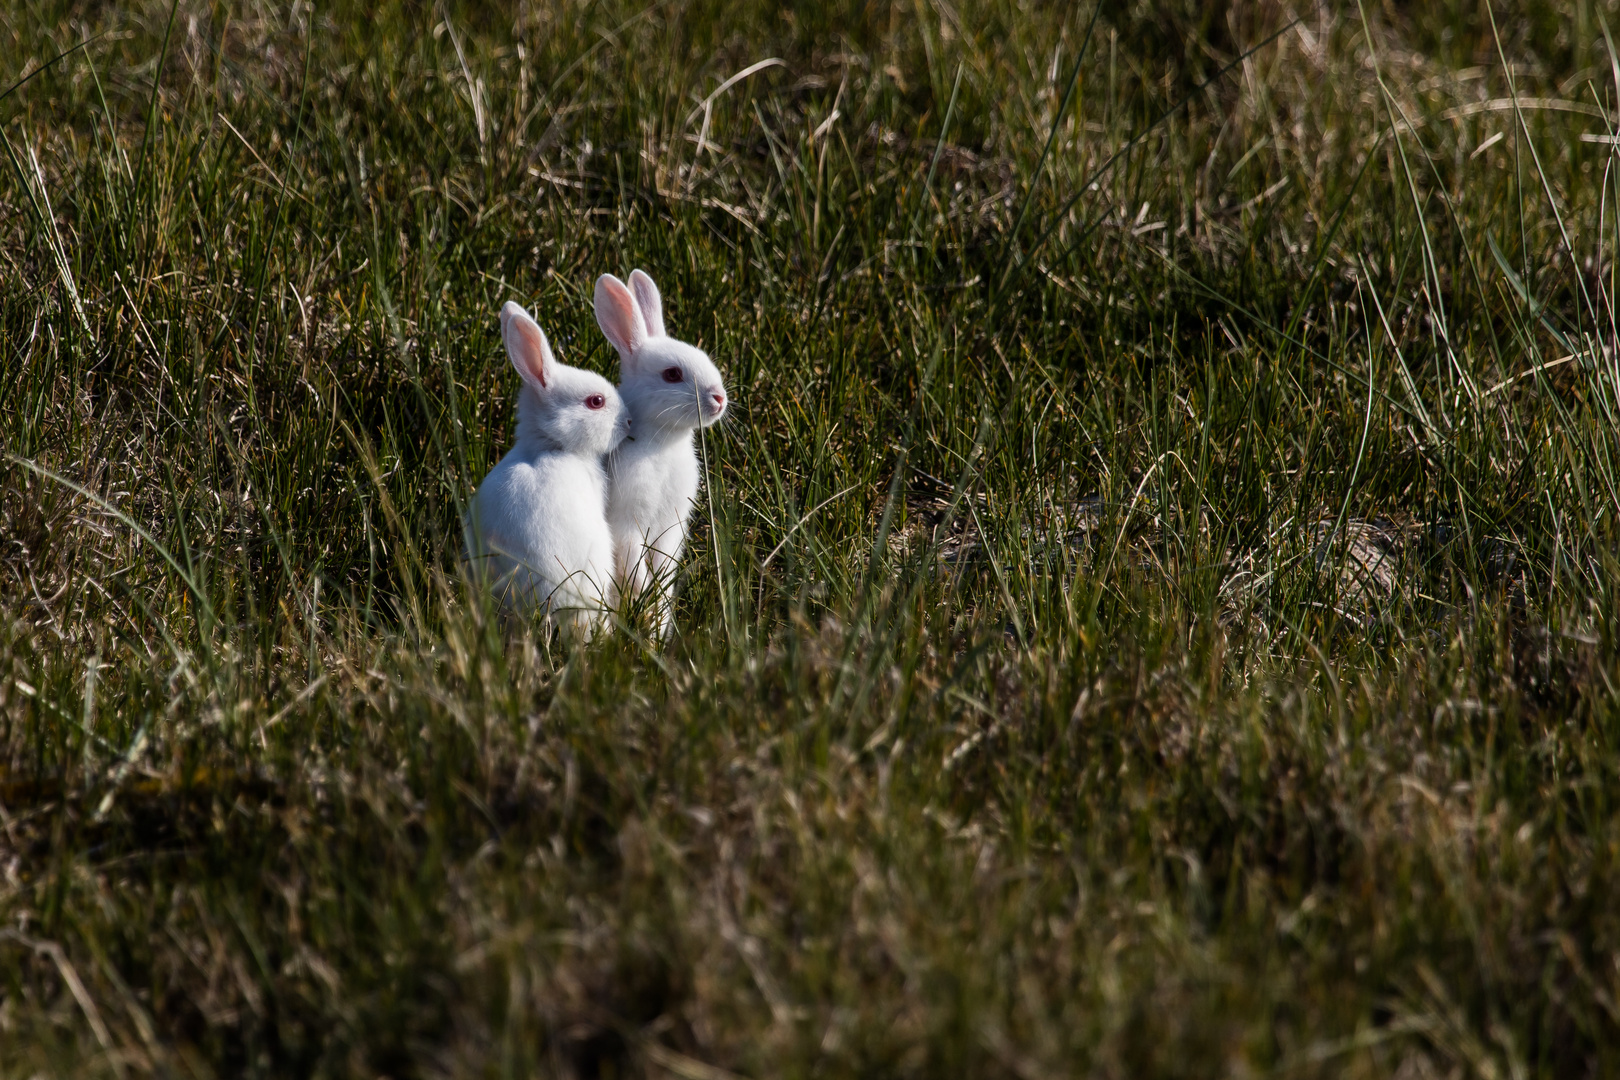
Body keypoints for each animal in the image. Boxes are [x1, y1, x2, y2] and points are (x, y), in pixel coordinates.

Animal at [596, 270, 729, 637]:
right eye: (672, 374)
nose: (719, 398)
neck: (664, 445)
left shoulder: (672, 525)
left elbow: (665, 566)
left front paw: (657, 616)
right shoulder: (627, 524)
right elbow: (634, 567)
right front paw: (644, 604)